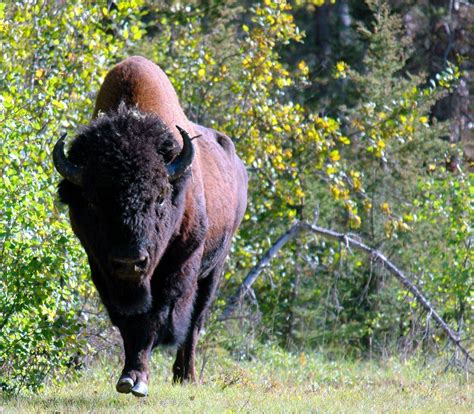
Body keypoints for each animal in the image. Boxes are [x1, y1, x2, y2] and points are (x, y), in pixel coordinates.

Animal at [53, 56, 248, 396]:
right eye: (91, 202)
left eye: (159, 198)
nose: (130, 261)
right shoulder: (102, 270)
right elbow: (128, 322)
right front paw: (128, 377)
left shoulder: (178, 267)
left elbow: (156, 319)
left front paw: (140, 381)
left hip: (214, 269)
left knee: (195, 323)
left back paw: (187, 375)